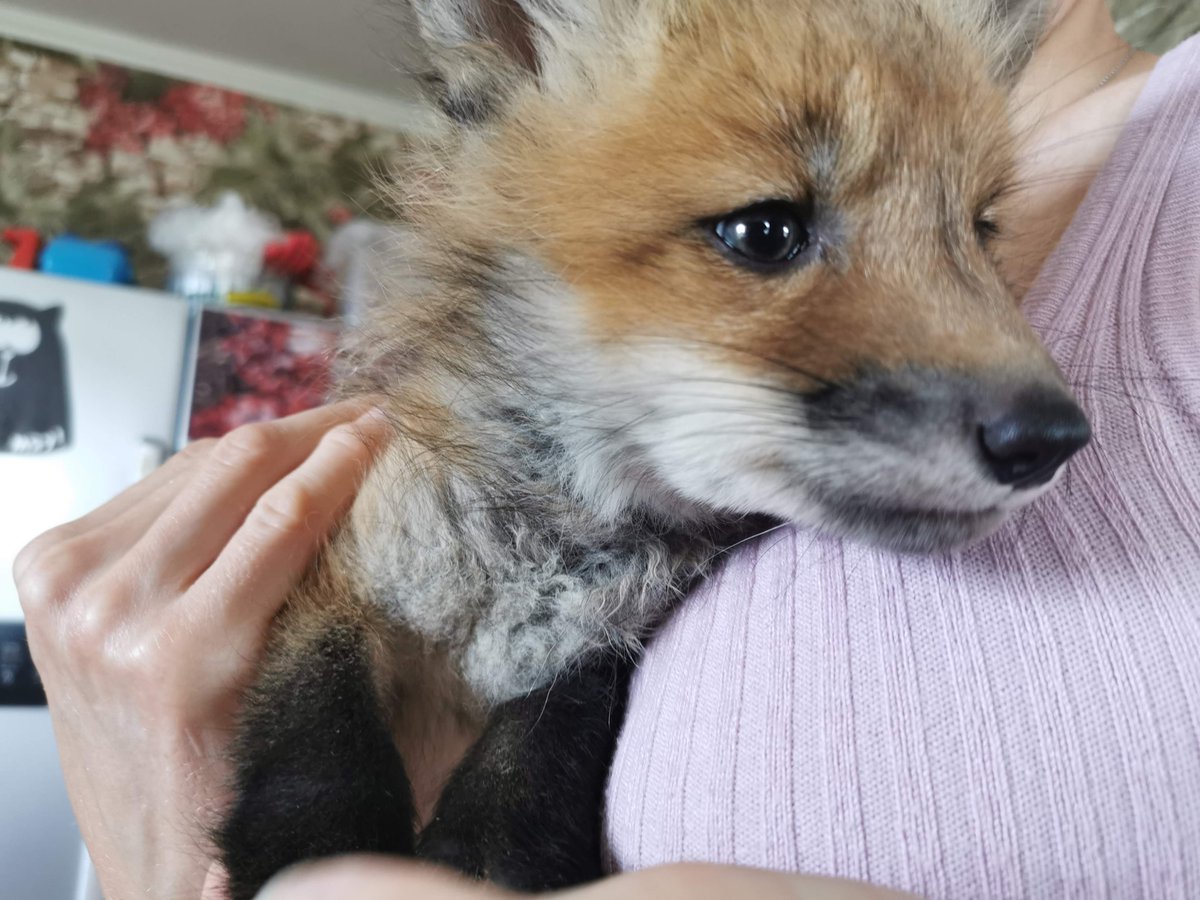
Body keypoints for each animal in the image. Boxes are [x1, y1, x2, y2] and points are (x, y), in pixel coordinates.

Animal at [216, 0, 1092, 895]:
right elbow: (316, 739)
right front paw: (318, 843)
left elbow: (528, 770)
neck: (540, 562)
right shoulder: (345, 573)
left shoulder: (597, 658)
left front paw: (483, 850)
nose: (1052, 437)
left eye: (980, 231)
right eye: (764, 230)